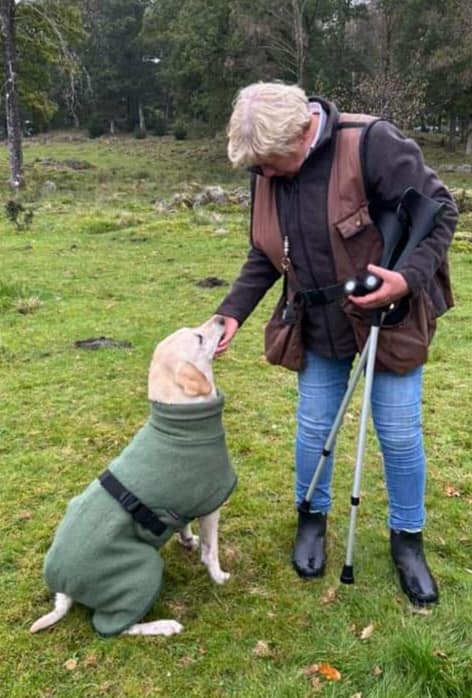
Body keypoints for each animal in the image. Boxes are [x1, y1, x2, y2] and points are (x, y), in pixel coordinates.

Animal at [30, 315, 236, 637]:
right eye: (199, 338)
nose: (221, 318)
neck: (179, 422)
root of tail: (62, 586)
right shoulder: (211, 505)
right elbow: (210, 550)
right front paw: (218, 576)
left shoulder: (186, 503)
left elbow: (184, 527)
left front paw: (187, 540)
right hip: (142, 570)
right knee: (113, 628)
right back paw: (164, 626)